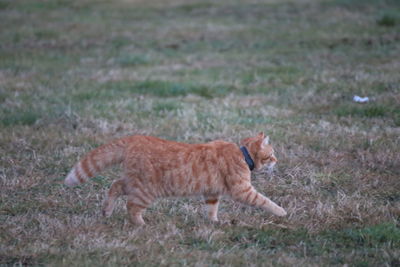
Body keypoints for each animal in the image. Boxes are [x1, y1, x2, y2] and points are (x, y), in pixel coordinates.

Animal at [64, 133, 286, 225]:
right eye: (272, 154)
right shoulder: (242, 190)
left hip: (132, 182)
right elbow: (265, 201)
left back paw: (106, 211)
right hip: (146, 190)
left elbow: (212, 208)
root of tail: (135, 138)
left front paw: (214, 222)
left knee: (114, 186)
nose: (278, 160)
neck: (243, 154)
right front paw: (281, 212)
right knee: (132, 206)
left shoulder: (212, 192)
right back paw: (141, 225)